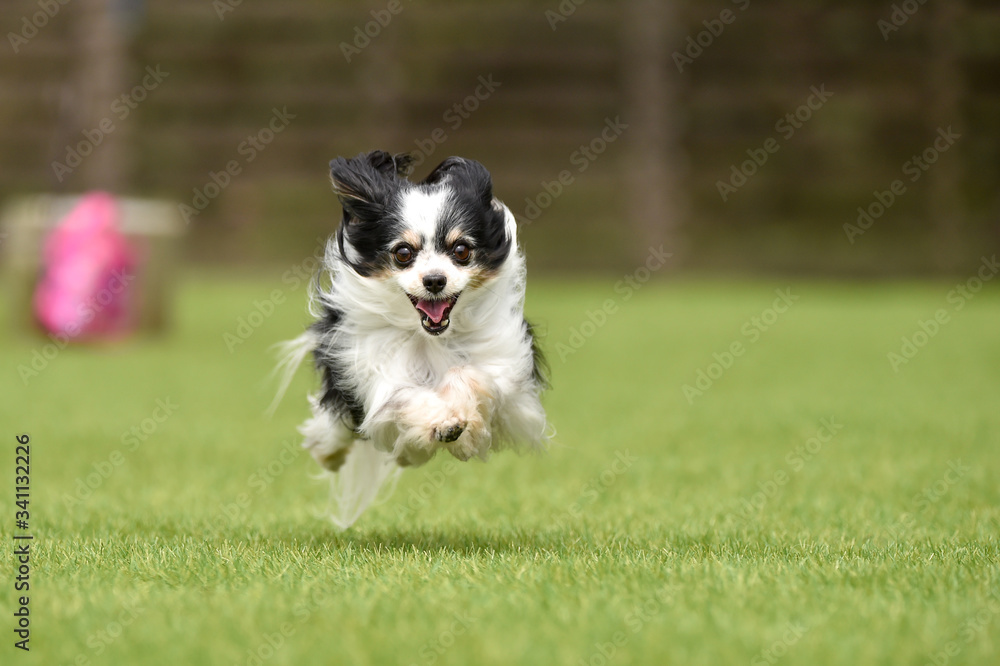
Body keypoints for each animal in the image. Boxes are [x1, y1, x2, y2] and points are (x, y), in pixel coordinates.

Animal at [276, 149, 548, 524]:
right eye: (403, 253)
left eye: (461, 250)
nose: (434, 280)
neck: (430, 337)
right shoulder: (376, 372)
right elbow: (401, 397)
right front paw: (442, 422)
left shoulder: (507, 374)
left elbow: (470, 375)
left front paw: (462, 428)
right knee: (339, 425)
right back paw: (329, 450)